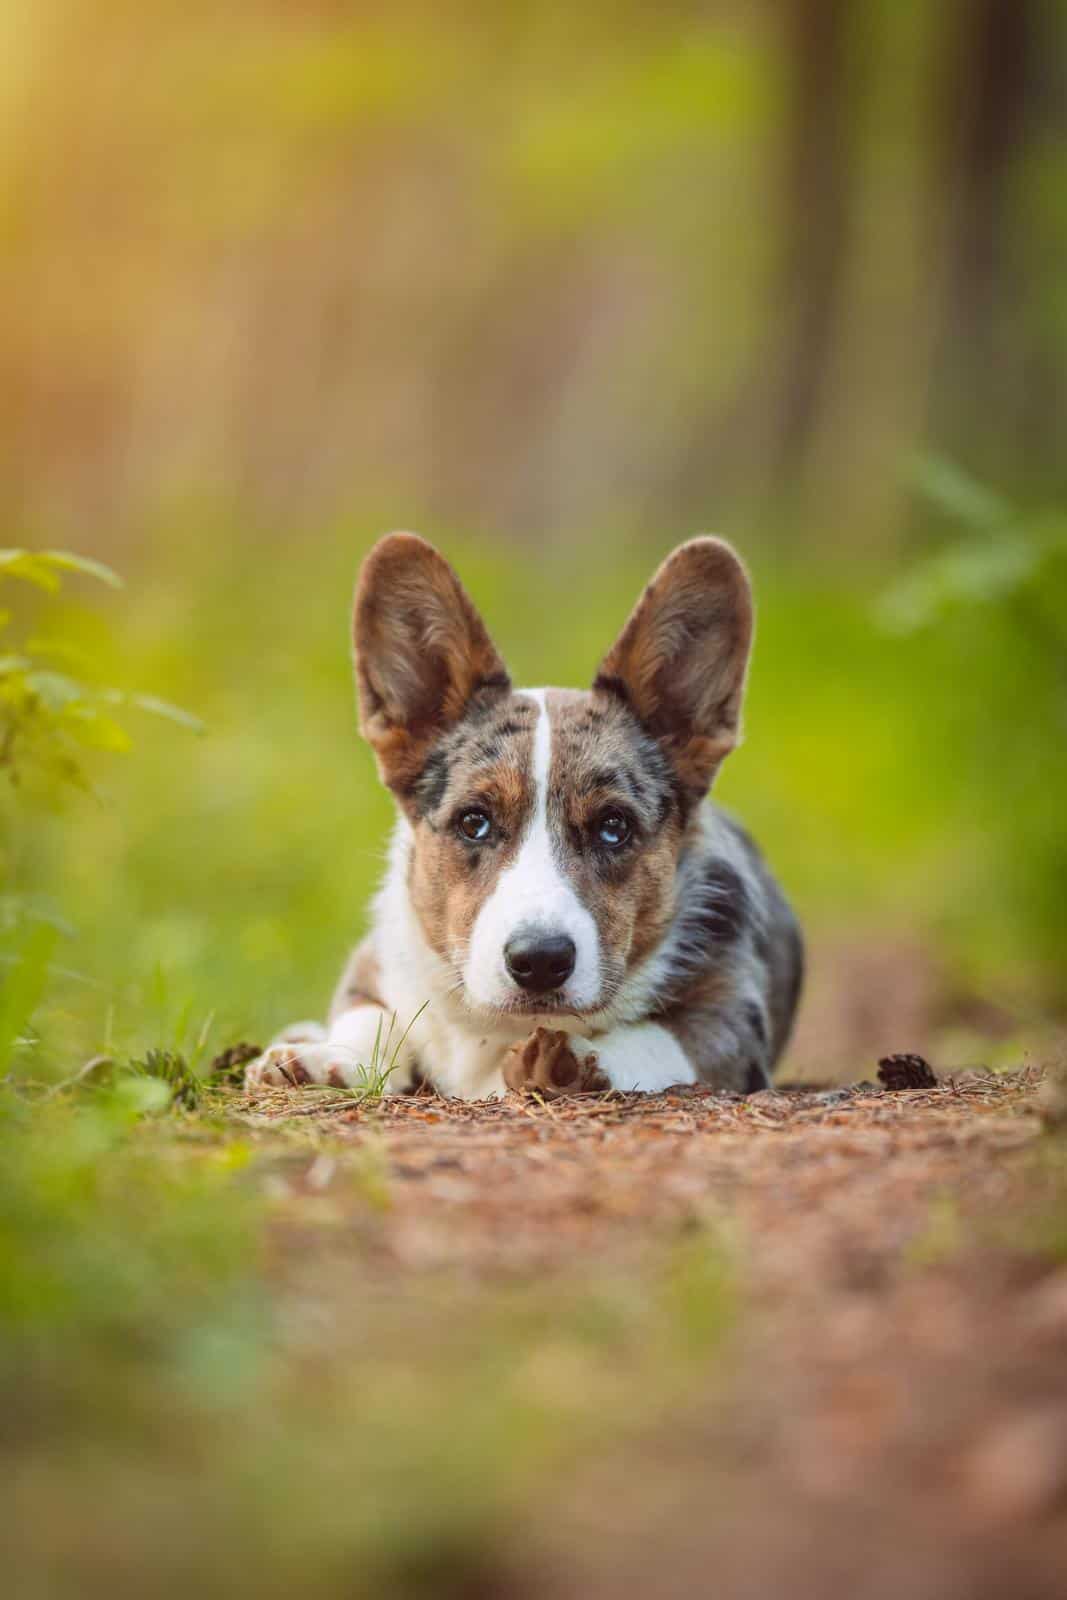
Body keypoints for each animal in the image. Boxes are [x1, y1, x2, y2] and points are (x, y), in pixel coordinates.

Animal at [246, 537, 806, 1100]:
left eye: (614, 827)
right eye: (474, 822)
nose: (540, 962)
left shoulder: (732, 1022)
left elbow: (655, 1039)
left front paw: (577, 1060)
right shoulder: (375, 965)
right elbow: (370, 1018)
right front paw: (327, 1059)